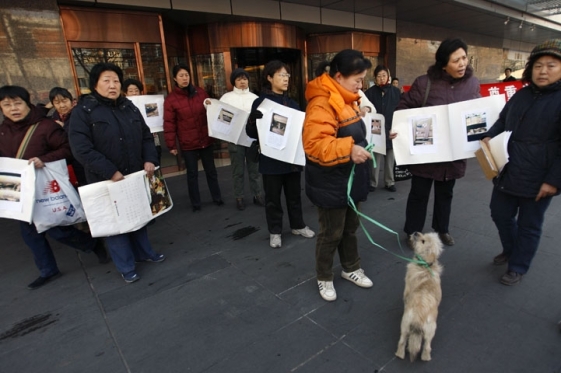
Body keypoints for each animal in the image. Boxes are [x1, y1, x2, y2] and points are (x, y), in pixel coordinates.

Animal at [394, 230, 442, 360]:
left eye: (423, 241)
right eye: (424, 236)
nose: (415, 232)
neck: (425, 266)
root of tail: (418, 319)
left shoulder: (406, 290)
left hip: (404, 325)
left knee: (402, 342)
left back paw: (399, 355)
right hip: (430, 331)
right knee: (427, 346)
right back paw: (426, 358)